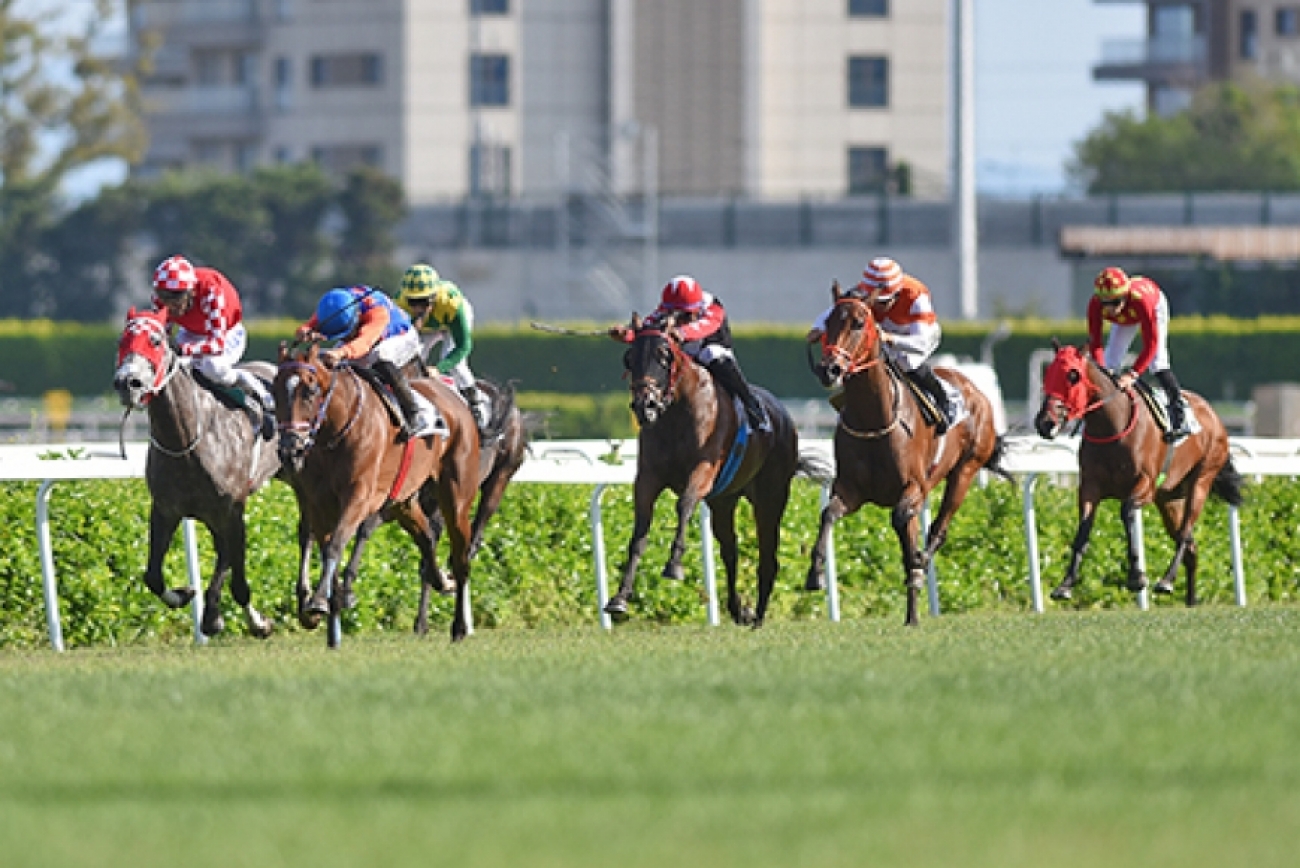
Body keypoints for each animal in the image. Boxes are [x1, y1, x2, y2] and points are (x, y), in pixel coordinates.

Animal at [113, 305, 282, 636]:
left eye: (155, 341)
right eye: (122, 341)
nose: (127, 382)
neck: (186, 442)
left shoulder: (232, 510)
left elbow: (238, 579)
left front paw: (235, 620)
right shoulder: (166, 509)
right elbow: (152, 576)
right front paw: (184, 594)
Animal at [271, 345, 480, 644]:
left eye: (310, 391)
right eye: (274, 390)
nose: (290, 450)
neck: (334, 433)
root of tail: (453, 396)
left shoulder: (358, 496)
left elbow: (336, 544)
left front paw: (319, 602)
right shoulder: (318, 503)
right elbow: (326, 548)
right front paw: (327, 617)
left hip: (456, 497)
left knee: (461, 557)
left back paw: (459, 626)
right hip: (403, 501)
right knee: (427, 536)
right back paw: (441, 579)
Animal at [600, 315, 821, 626]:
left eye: (664, 356)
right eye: (629, 358)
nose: (646, 404)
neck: (676, 415)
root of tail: (786, 419)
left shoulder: (703, 470)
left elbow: (684, 504)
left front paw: (674, 565)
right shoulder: (647, 479)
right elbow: (638, 536)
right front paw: (619, 598)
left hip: (770, 498)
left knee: (768, 557)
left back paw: (758, 616)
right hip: (723, 501)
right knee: (731, 550)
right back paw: (739, 610)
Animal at [806, 288, 1008, 626]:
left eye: (859, 322)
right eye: (828, 322)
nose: (828, 369)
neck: (873, 419)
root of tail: (976, 390)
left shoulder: (914, 487)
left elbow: (902, 521)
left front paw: (915, 565)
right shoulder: (850, 490)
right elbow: (828, 514)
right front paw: (815, 574)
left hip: (965, 471)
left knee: (938, 528)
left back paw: (919, 573)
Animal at [1029, 343, 1242, 608]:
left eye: (1073, 376)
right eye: (1048, 376)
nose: (1045, 423)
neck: (1112, 425)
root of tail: (1213, 416)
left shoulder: (1145, 486)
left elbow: (1126, 511)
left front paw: (1136, 577)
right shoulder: (1089, 487)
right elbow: (1083, 531)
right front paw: (1065, 584)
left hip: (1201, 482)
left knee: (1184, 535)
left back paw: (1167, 581)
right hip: (1169, 500)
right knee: (1191, 547)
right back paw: (1190, 600)